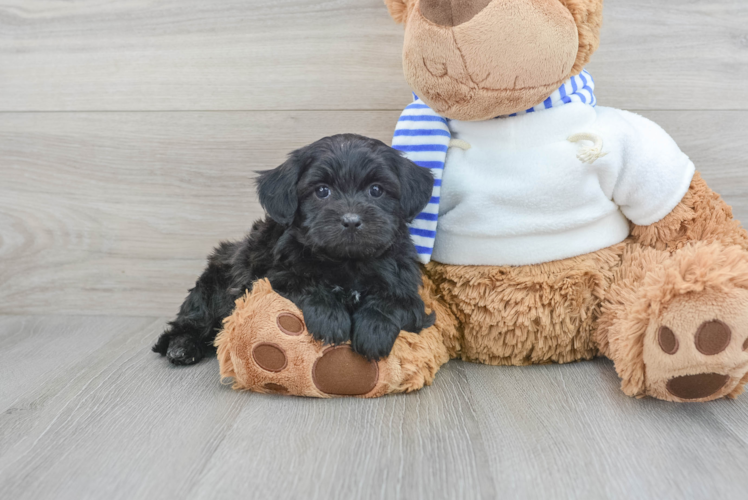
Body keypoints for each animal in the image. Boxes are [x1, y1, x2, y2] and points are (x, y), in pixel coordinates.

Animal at [152, 135, 436, 366]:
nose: (351, 220)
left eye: (376, 190)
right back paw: (182, 347)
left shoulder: (407, 289)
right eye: (322, 191)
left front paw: (374, 332)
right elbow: (305, 285)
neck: (346, 261)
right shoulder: (271, 278)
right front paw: (330, 320)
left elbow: (393, 302)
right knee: (190, 323)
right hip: (212, 287)